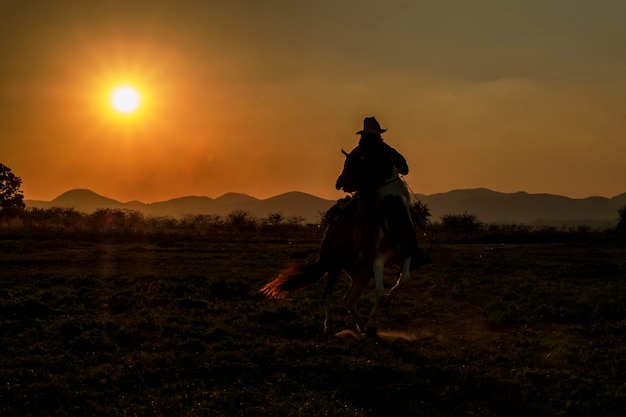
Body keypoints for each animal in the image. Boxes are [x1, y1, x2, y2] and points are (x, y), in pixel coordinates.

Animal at [258, 149, 420, 334]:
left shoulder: (406, 253)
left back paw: (361, 326)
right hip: (334, 268)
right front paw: (373, 322)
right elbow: (379, 291)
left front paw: (387, 302)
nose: (340, 183)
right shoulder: (378, 260)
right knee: (327, 297)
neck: (394, 218)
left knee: (348, 300)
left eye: (360, 160)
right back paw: (329, 326)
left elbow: (404, 280)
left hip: (361, 275)